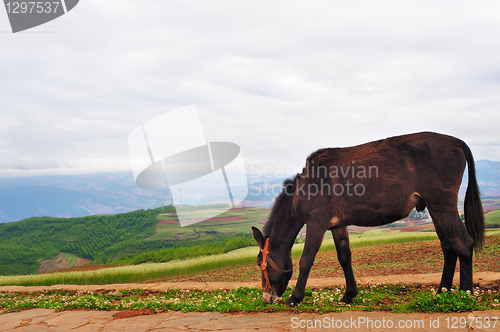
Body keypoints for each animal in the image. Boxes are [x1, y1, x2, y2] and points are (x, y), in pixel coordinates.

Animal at [254, 132, 484, 306]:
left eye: (259, 264)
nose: (267, 297)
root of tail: (456, 142)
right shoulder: (337, 225)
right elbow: (344, 257)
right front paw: (349, 294)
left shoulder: (316, 224)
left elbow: (306, 260)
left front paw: (295, 298)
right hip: (435, 209)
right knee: (448, 247)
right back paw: (442, 291)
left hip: (442, 206)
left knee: (463, 244)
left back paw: (465, 293)